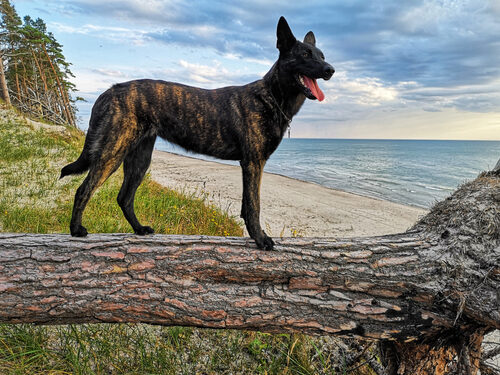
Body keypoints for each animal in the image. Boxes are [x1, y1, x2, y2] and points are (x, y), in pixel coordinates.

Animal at [61, 18, 336, 253]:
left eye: (322, 55)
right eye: (305, 55)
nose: (330, 70)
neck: (271, 96)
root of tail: (109, 91)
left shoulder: (250, 165)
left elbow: (246, 206)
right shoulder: (253, 163)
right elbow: (253, 205)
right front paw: (260, 239)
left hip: (139, 158)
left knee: (124, 197)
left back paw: (138, 229)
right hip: (112, 152)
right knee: (84, 189)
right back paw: (75, 230)